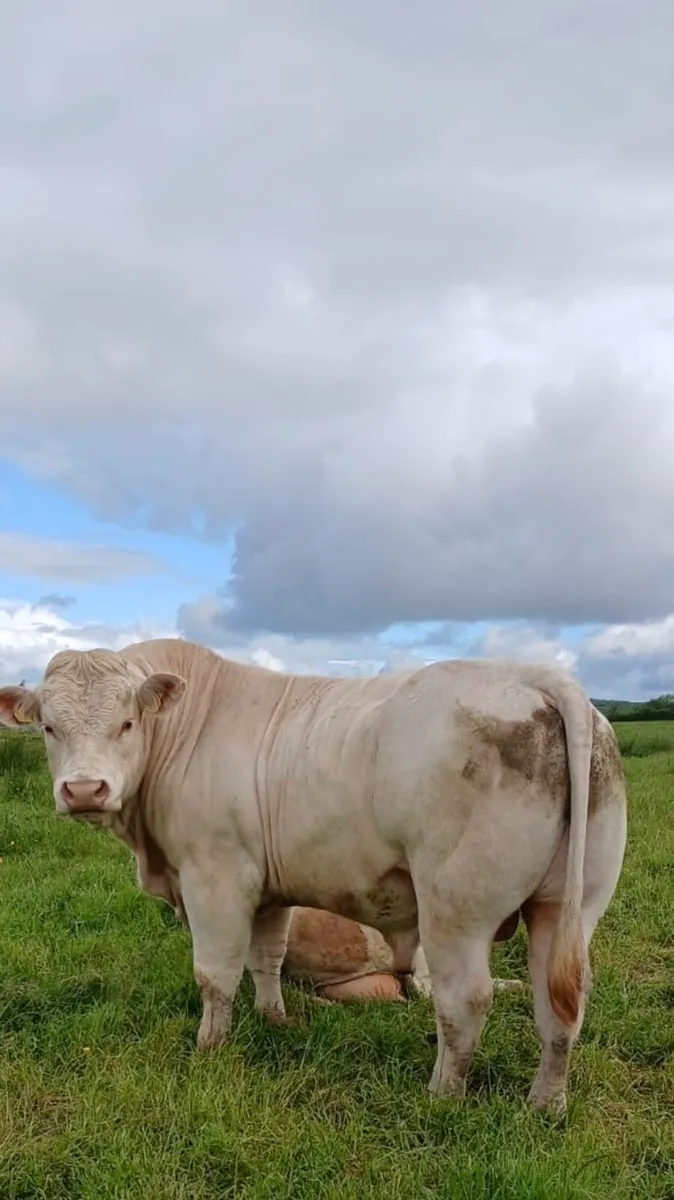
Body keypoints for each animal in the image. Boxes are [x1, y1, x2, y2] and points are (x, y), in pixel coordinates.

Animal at [0, 639, 627, 1115]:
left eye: (127, 723)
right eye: (49, 728)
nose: (84, 790)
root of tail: (535, 675)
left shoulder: (215, 876)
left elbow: (215, 974)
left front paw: (209, 1048)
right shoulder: (269, 888)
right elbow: (267, 958)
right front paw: (273, 1019)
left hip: (456, 910)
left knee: (465, 1000)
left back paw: (441, 1096)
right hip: (569, 906)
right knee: (561, 1003)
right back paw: (545, 1105)